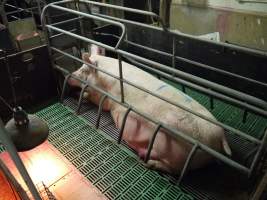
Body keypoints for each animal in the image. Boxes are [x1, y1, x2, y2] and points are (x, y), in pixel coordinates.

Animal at [69, 51, 232, 173]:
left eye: (84, 70)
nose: (69, 76)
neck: (106, 78)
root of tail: (220, 138)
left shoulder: (105, 98)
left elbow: (97, 101)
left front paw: (81, 94)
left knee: (174, 169)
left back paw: (148, 163)